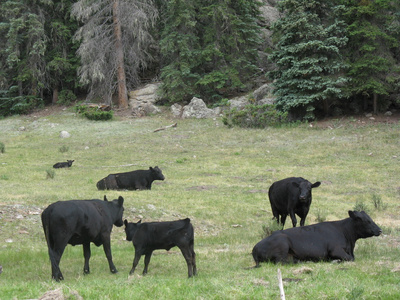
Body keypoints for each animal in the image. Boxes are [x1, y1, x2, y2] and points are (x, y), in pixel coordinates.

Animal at [253, 210, 382, 266]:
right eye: (366, 221)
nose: (380, 230)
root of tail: (255, 248)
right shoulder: (335, 249)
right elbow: (350, 258)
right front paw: (335, 260)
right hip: (282, 244)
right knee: (281, 262)